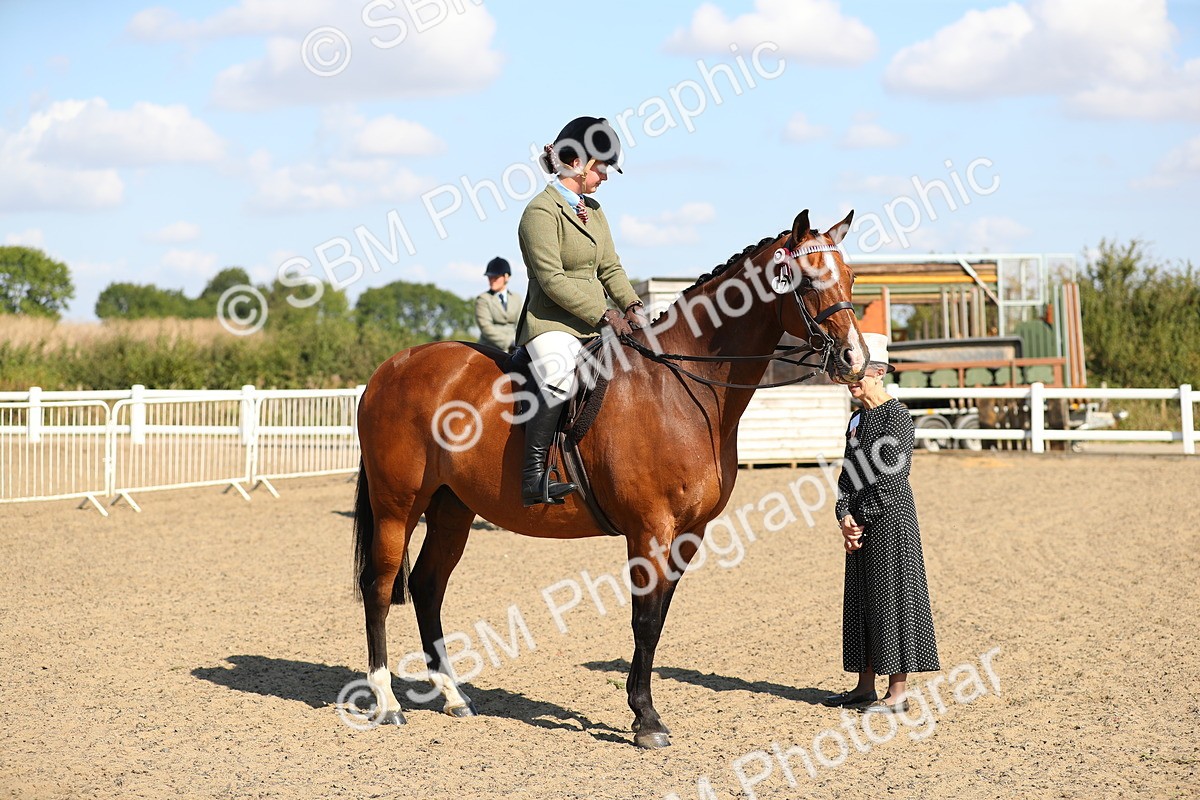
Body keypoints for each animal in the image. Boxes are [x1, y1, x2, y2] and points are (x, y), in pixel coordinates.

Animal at [351, 209, 868, 749]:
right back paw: (386, 701)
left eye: (851, 278)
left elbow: (657, 619)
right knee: (379, 585)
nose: (854, 359)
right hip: (398, 506)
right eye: (806, 281)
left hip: (452, 507)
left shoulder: (689, 532)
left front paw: (643, 712)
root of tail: (389, 369)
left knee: (428, 585)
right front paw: (646, 719)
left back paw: (454, 696)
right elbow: (643, 620)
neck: (677, 390)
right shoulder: (649, 529)